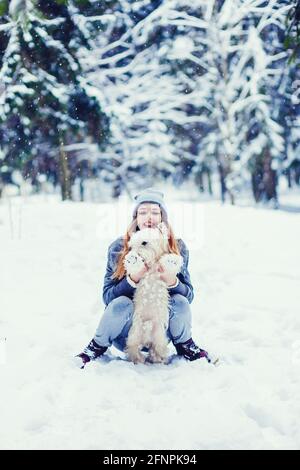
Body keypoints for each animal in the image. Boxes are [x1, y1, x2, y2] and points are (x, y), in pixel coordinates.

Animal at [122, 223, 183, 364]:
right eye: (131, 246)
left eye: (144, 243)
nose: (135, 254)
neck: (151, 265)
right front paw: (132, 259)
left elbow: (170, 263)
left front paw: (171, 261)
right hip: (134, 332)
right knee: (132, 347)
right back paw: (138, 359)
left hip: (159, 335)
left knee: (157, 347)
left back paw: (158, 358)